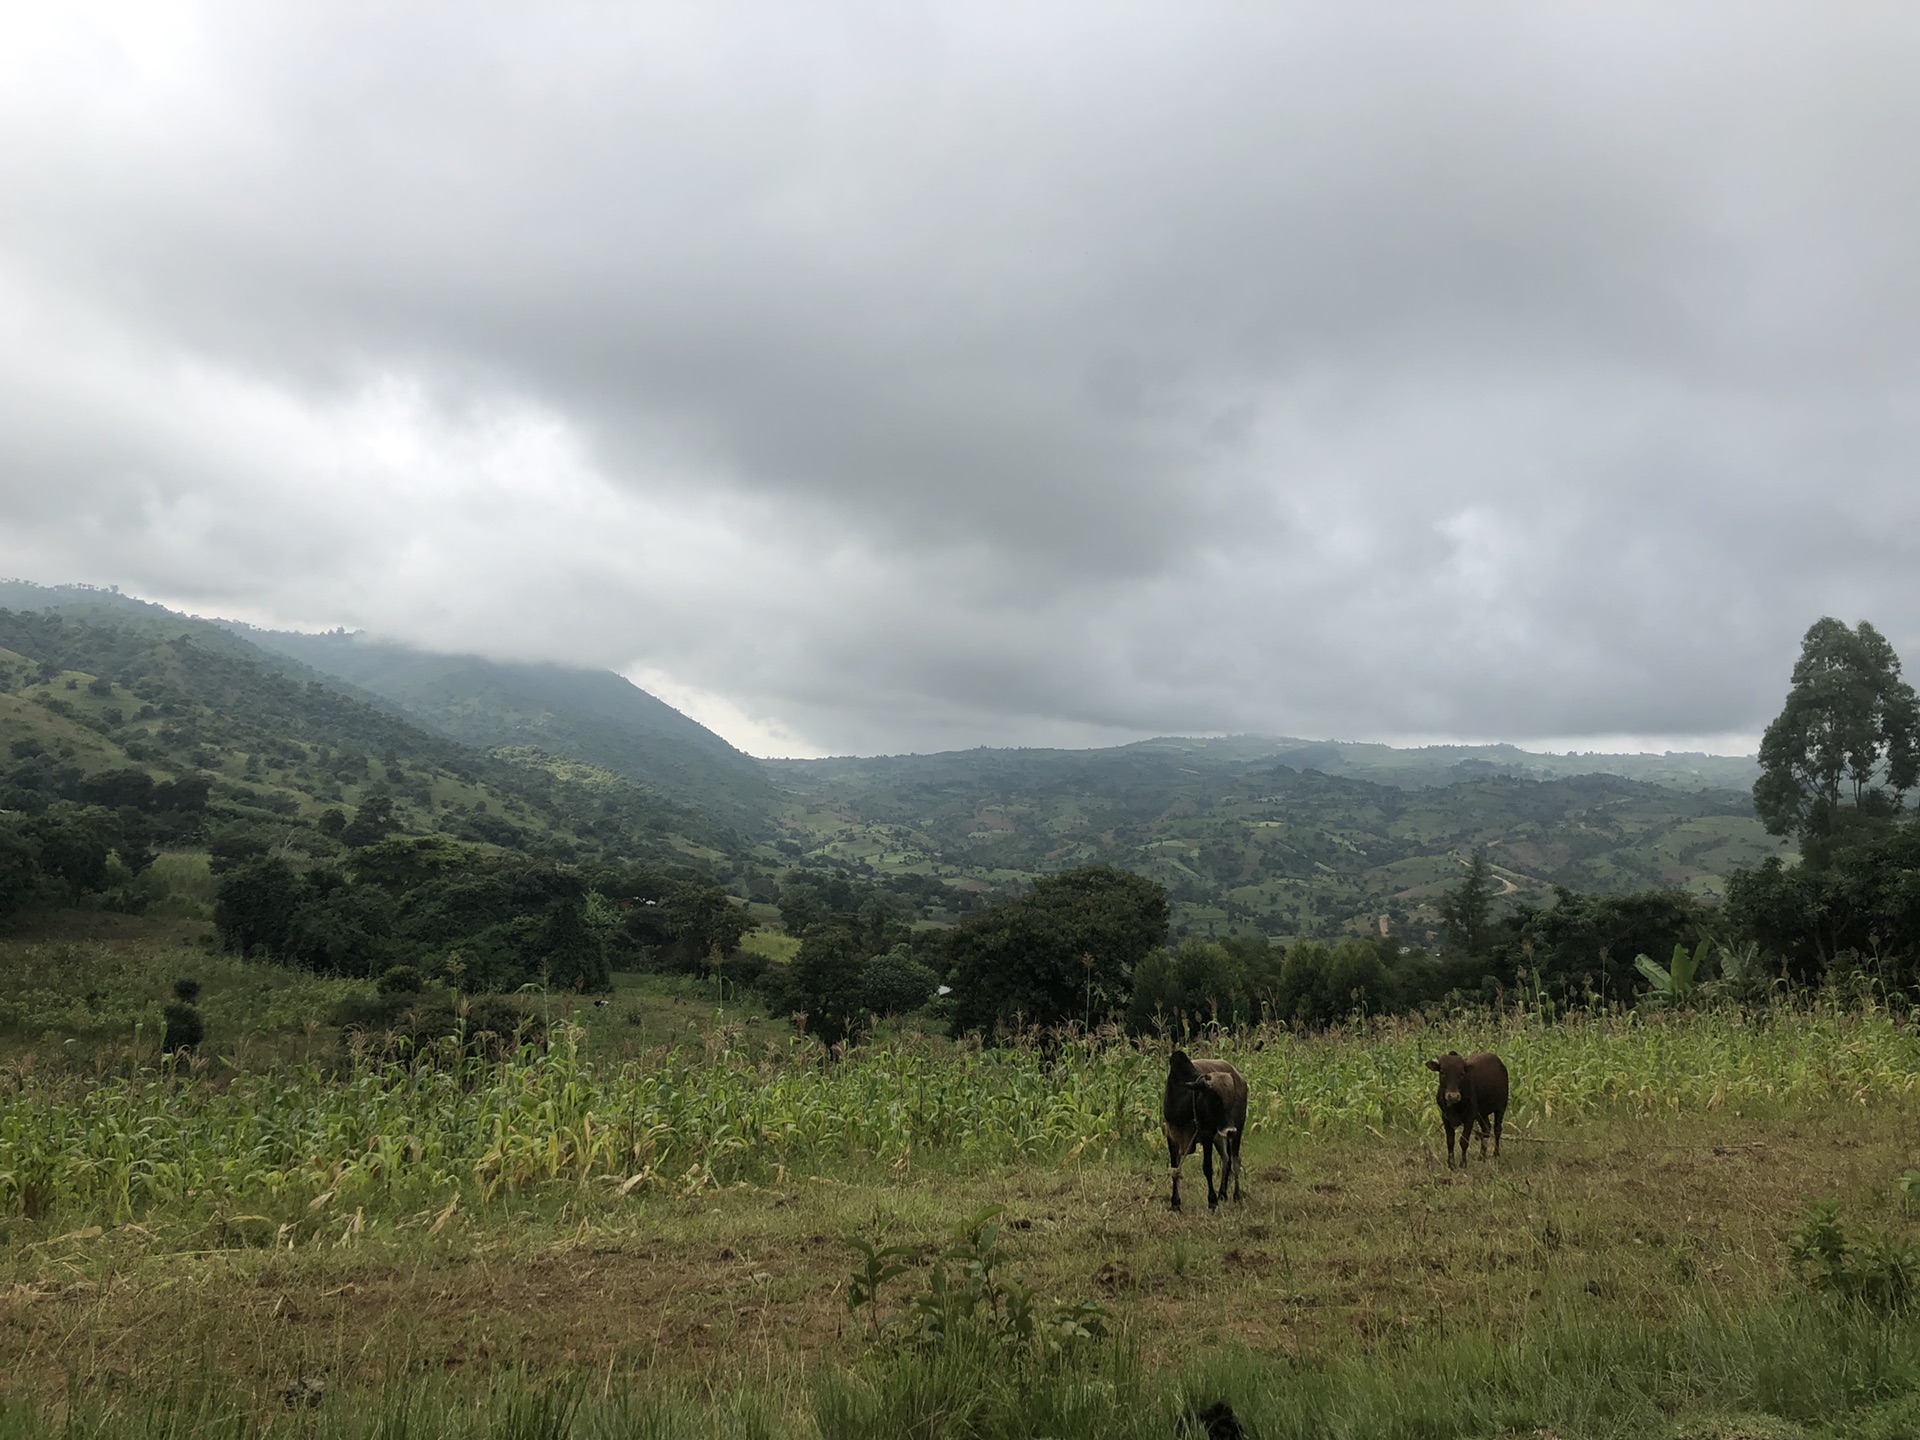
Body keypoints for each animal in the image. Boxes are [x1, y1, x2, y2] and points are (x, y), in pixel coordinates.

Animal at [1159, 1052, 1251, 1213]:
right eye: (1215, 1100)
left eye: (1232, 1099)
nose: (1230, 1130)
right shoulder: (1171, 1137)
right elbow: (1175, 1170)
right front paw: (1175, 1203)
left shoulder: (1207, 1136)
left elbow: (1207, 1168)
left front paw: (1212, 1202)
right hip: (1219, 1136)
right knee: (1226, 1158)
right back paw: (1222, 1194)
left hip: (1237, 1129)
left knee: (1234, 1161)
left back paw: (1236, 1195)